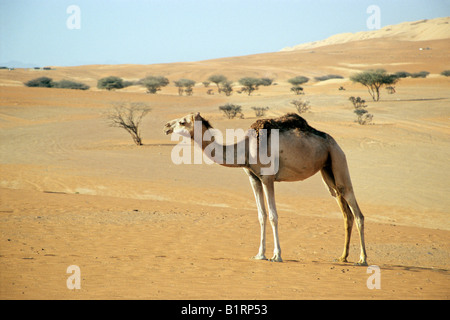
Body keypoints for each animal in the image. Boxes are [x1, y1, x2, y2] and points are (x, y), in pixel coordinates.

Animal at [163, 112, 368, 264]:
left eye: (182, 121)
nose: (166, 126)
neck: (245, 149)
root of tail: (335, 142)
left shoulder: (268, 178)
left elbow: (273, 216)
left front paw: (277, 255)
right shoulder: (253, 178)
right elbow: (261, 215)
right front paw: (259, 254)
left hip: (338, 159)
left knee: (355, 209)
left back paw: (362, 259)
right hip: (327, 170)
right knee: (344, 209)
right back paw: (342, 257)